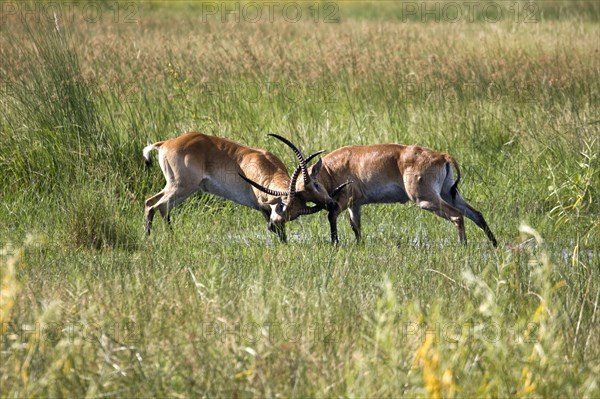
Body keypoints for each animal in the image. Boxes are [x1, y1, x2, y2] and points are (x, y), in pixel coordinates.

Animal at [143, 133, 336, 242]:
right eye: (282, 205)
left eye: (294, 215)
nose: (330, 203)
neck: (266, 165)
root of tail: (166, 143)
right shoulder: (263, 207)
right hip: (181, 187)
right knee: (158, 205)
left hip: (181, 188)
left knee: (152, 203)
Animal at [308, 145, 500, 247]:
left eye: (312, 184)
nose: (327, 202)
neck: (331, 168)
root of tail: (442, 156)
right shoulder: (355, 205)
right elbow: (356, 226)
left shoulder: (344, 199)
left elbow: (332, 215)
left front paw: (335, 243)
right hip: (448, 193)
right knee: (476, 214)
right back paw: (495, 244)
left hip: (425, 200)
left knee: (457, 215)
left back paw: (463, 247)